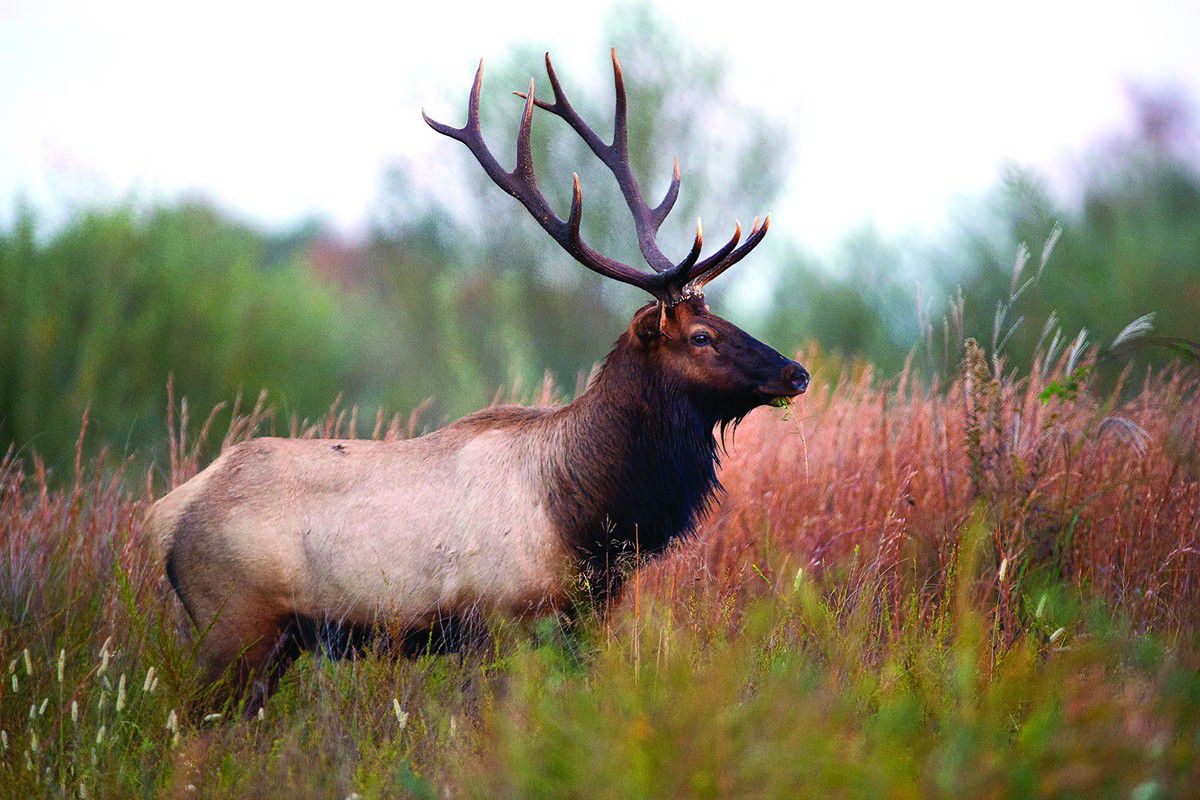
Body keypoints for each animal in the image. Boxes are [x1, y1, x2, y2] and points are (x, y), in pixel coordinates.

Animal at [147, 51, 806, 714]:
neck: (588, 518)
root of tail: (163, 517)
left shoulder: (581, 621)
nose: (795, 372)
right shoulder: (496, 621)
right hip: (234, 628)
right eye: (700, 337)